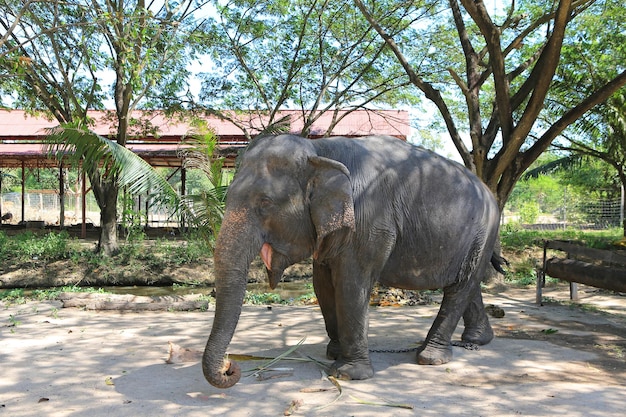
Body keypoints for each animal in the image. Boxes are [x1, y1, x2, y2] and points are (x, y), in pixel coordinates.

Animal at [201, 132, 502, 386]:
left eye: (265, 203)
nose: (230, 366)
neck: (320, 150)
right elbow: (322, 285)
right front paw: (334, 354)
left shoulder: (370, 219)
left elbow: (351, 284)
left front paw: (348, 374)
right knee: (466, 284)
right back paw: (477, 339)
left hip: (484, 231)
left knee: (460, 287)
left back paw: (430, 357)